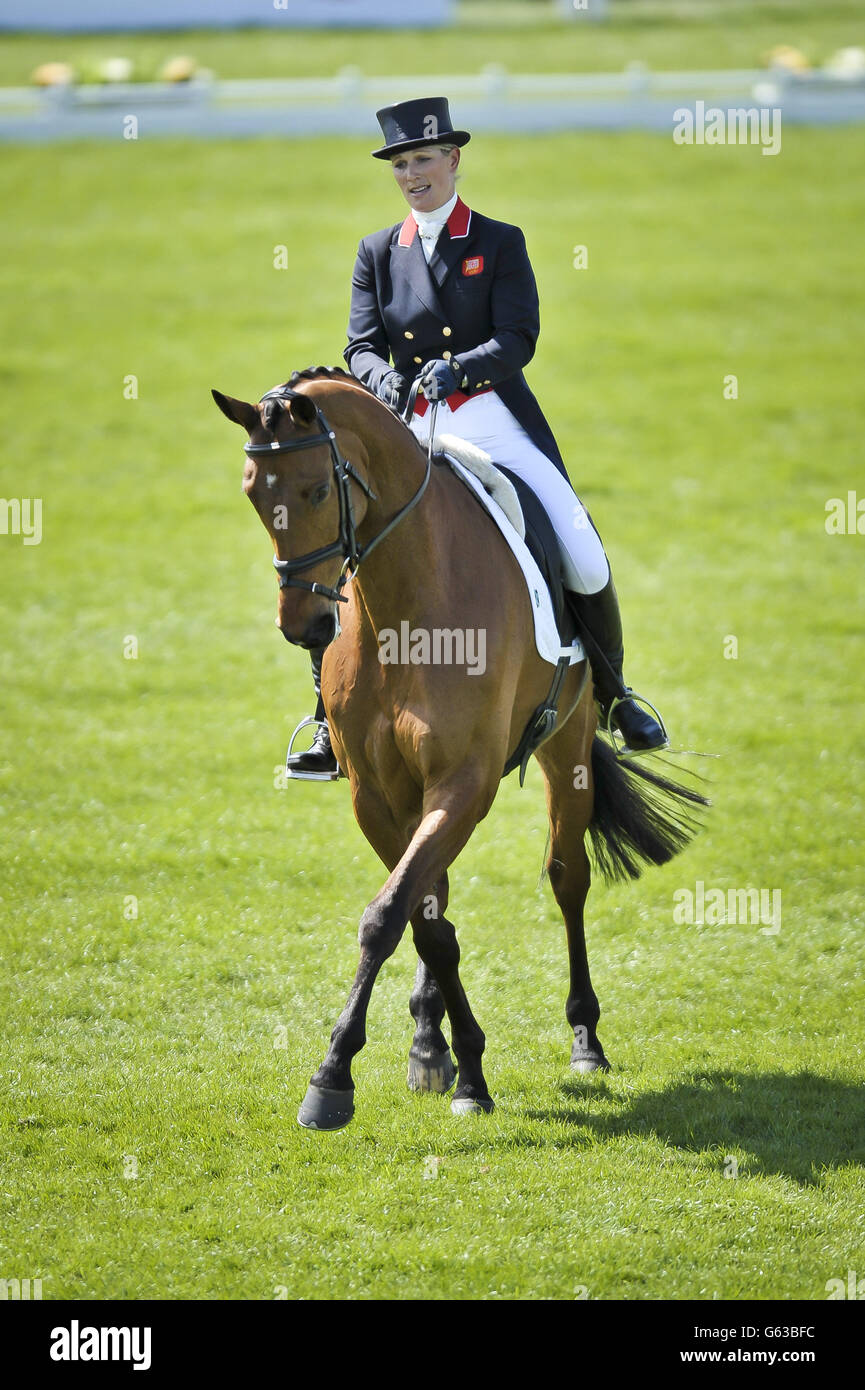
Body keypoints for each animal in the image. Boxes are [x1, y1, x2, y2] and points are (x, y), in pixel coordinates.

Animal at [215, 366, 706, 1128]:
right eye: (253, 494)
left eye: (318, 490)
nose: (305, 626)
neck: (405, 603)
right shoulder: (377, 797)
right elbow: (423, 921)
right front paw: (453, 1062)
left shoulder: (463, 783)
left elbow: (388, 916)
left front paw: (334, 1077)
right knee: (439, 895)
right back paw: (430, 1041)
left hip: (566, 746)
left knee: (567, 878)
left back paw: (585, 1040)